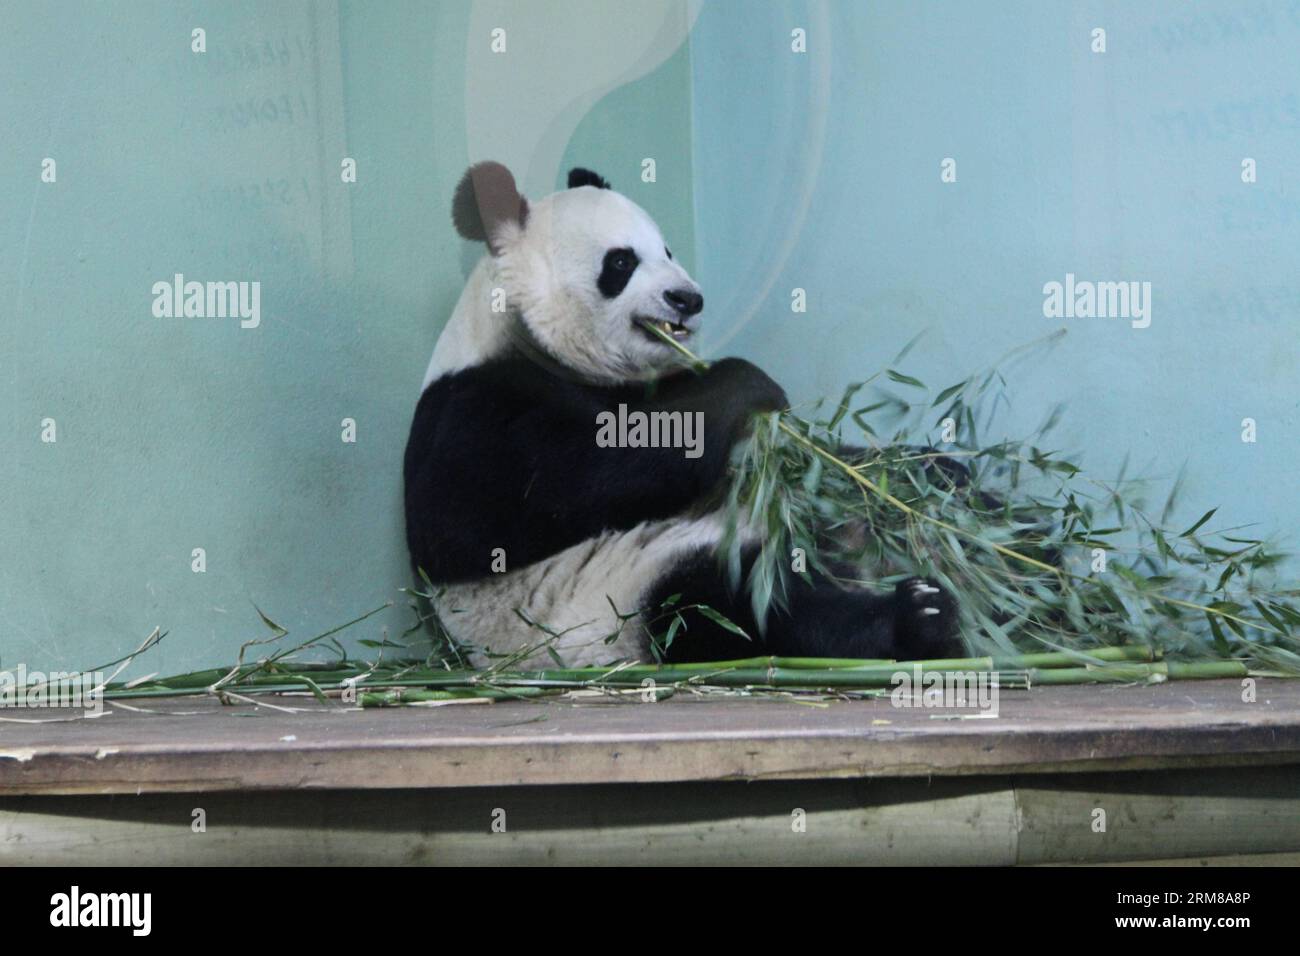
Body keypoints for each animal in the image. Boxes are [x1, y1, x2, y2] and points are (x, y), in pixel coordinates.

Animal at [400, 162, 961, 665]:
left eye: (667, 249)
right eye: (621, 263)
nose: (687, 298)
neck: (528, 339)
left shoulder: (637, 385)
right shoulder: (472, 408)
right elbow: (554, 488)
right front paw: (749, 386)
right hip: (631, 588)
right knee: (741, 609)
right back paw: (918, 617)